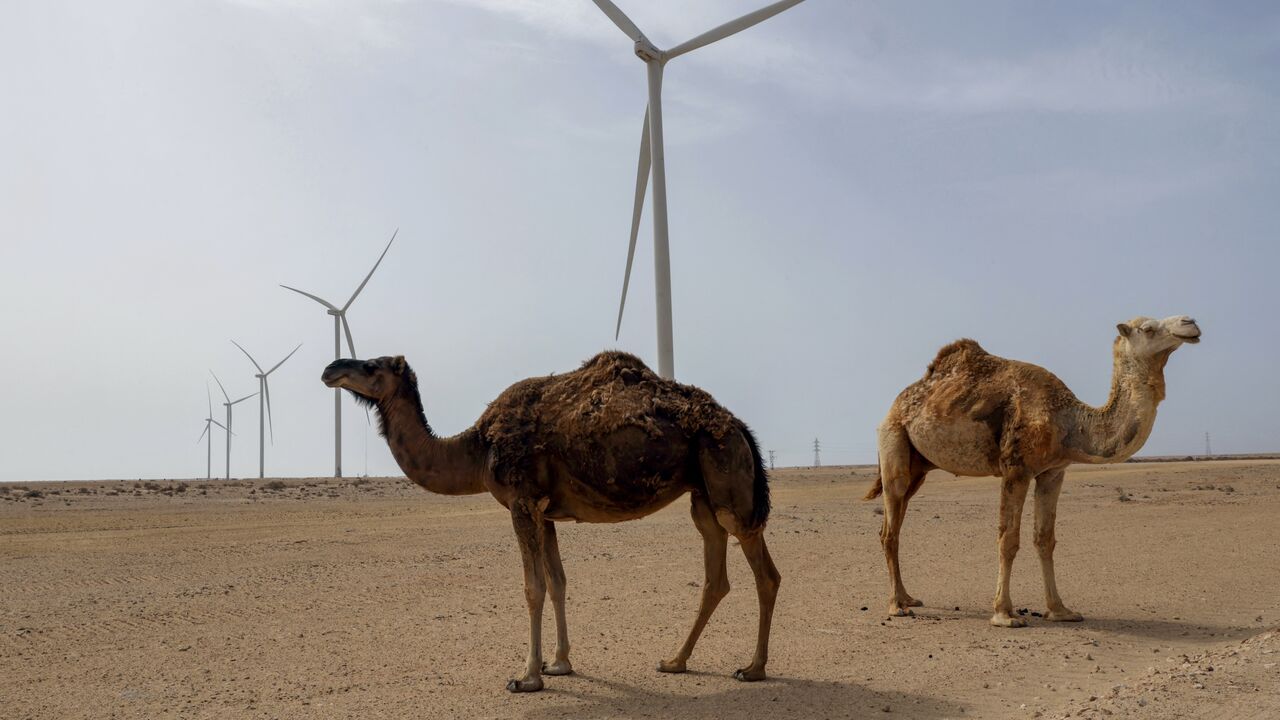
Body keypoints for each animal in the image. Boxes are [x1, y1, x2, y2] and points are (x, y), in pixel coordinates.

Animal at [321, 351, 779, 692]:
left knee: (765, 573)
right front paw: (559, 663)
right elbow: (558, 581)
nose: (330, 369)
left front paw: (527, 677)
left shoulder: (521, 500)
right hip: (703, 494)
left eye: (372, 365)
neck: (477, 448)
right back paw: (675, 660)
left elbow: (533, 587)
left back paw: (752, 668)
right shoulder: (545, 511)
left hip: (728, 477)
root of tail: (739, 425)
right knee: (715, 575)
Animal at [866, 315, 1201, 627]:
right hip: (893, 441)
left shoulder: (1053, 472)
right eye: (1148, 328)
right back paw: (896, 606)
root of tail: (893, 407)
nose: (1191, 323)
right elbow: (1008, 539)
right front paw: (1004, 614)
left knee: (893, 525)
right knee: (891, 528)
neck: (1069, 422)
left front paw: (1060, 610)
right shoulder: (1016, 469)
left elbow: (1045, 539)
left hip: (919, 468)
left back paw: (908, 597)